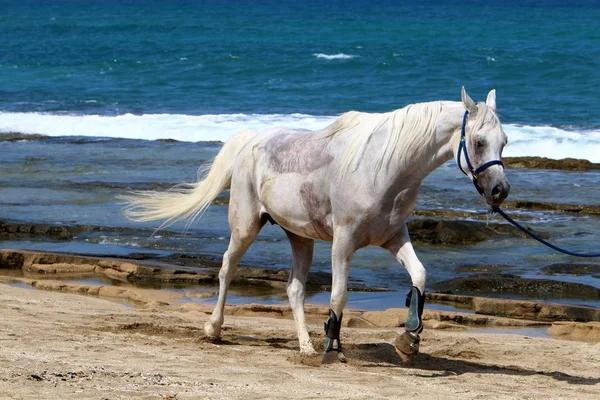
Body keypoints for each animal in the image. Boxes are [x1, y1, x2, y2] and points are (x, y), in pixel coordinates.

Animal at [124, 87, 508, 362]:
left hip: (300, 238)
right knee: (226, 268)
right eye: (478, 141)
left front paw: (408, 338)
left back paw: (305, 346)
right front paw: (332, 346)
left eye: (504, 142)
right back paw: (214, 329)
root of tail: (251, 140)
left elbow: (420, 276)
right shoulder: (344, 242)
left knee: (294, 289)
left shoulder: (394, 238)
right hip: (245, 227)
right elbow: (339, 294)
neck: (384, 168)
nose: (499, 190)